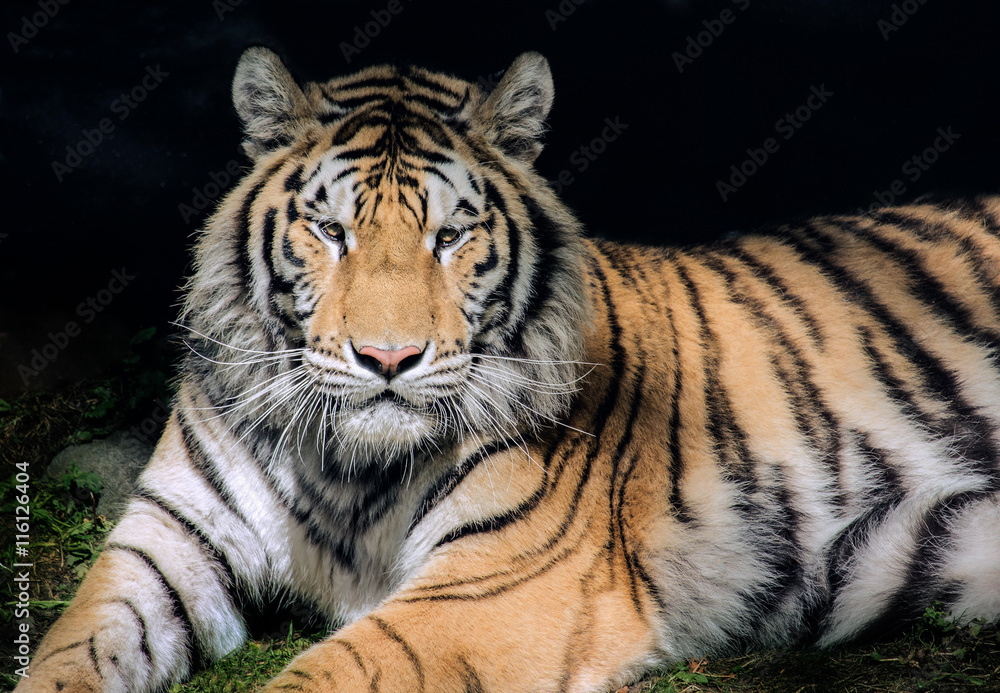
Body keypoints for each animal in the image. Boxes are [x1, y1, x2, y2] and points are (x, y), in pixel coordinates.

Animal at [17, 46, 1000, 693]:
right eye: (330, 231)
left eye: (450, 235)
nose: (387, 358)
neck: (344, 466)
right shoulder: (159, 542)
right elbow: (66, 650)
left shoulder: (499, 580)